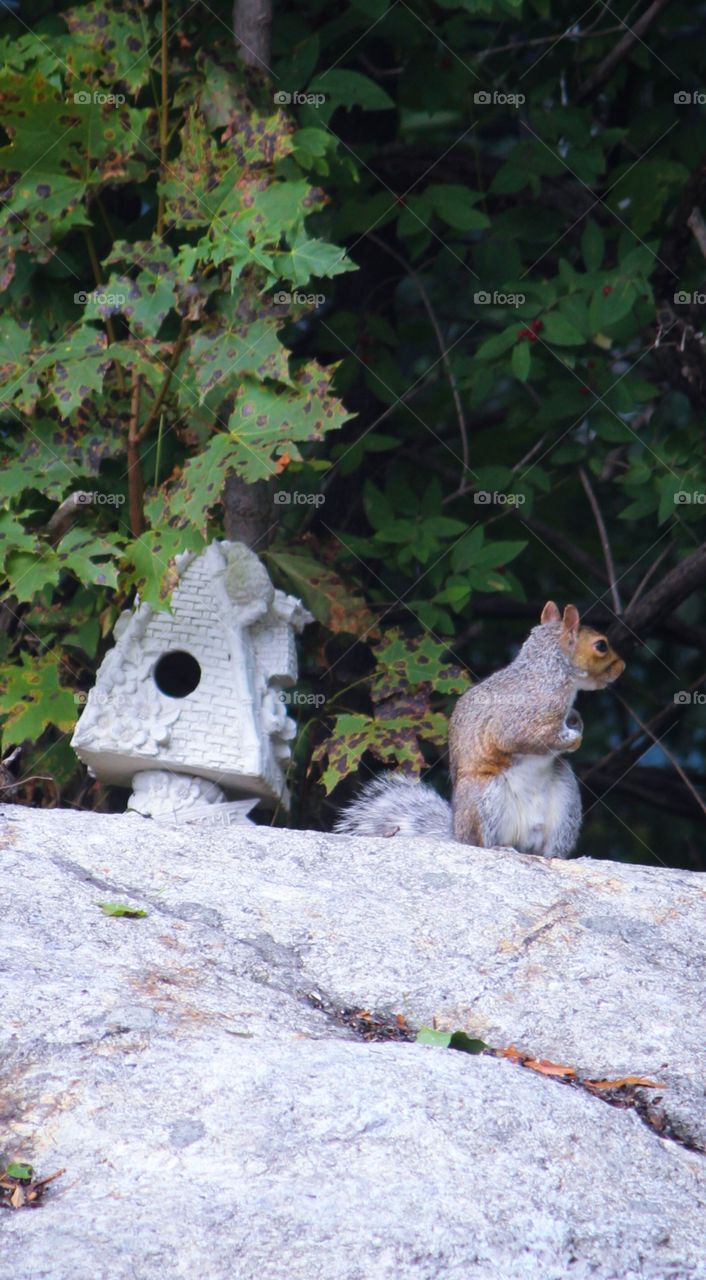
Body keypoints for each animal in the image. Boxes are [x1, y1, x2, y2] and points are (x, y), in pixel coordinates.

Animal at [335, 601, 625, 858]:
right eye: (601, 645)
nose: (622, 667)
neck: (550, 671)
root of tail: (456, 834)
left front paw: (575, 722)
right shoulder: (522, 716)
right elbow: (522, 738)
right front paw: (573, 740)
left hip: (565, 799)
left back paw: (556, 856)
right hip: (484, 798)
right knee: (479, 843)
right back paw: (499, 848)